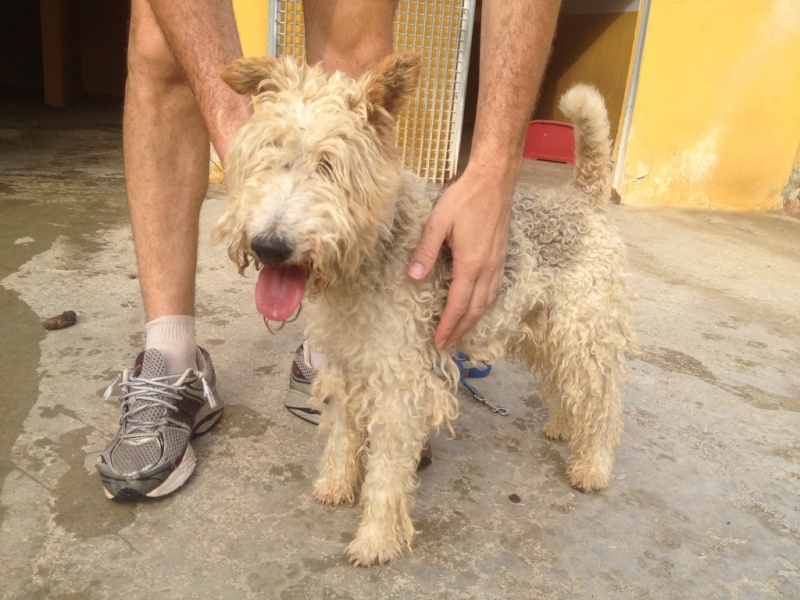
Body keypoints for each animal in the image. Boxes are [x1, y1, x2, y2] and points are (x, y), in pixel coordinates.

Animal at [214, 52, 636, 568]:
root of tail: (582, 195)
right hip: (548, 330)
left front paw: (376, 540)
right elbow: (342, 436)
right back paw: (562, 427)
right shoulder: (346, 364)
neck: (370, 257)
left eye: (331, 166)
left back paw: (592, 466)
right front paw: (335, 485)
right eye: (267, 153)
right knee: (569, 389)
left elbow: (387, 473)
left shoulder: (400, 386)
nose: (269, 246)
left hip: (585, 335)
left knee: (604, 404)